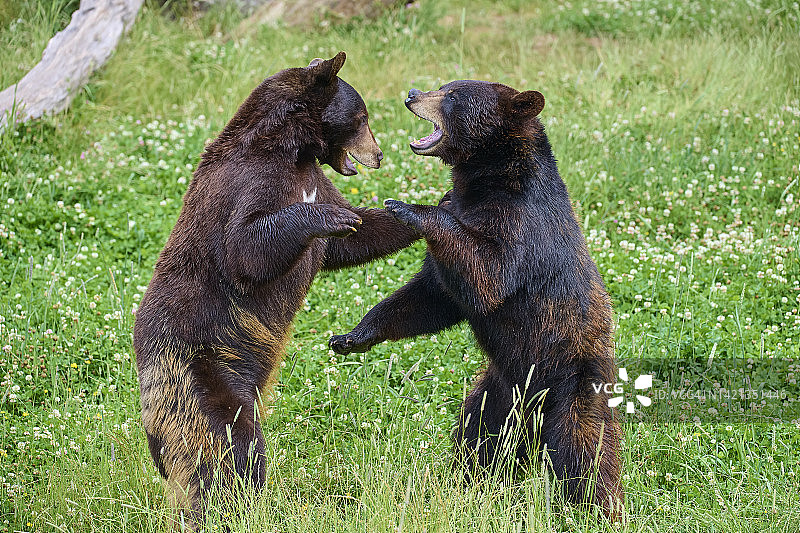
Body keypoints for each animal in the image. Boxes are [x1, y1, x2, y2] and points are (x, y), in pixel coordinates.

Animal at [133, 52, 419, 525]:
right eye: (362, 117)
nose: (378, 154)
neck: (292, 149)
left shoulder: (312, 176)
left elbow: (358, 236)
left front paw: (417, 211)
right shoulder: (252, 182)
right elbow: (247, 248)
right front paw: (330, 218)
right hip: (199, 370)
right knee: (226, 445)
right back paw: (232, 506)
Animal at [329, 80, 623, 516]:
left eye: (453, 95)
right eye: (444, 86)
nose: (413, 93)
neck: (489, 176)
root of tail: (533, 413)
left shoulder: (519, 222)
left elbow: (488, 275)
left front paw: (408, 207)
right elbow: (434, 295)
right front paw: (351, 336)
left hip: (572, 383)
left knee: (585, 448)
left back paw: (597, 506)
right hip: (498, 393)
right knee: (479, 434)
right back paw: (468, 481)